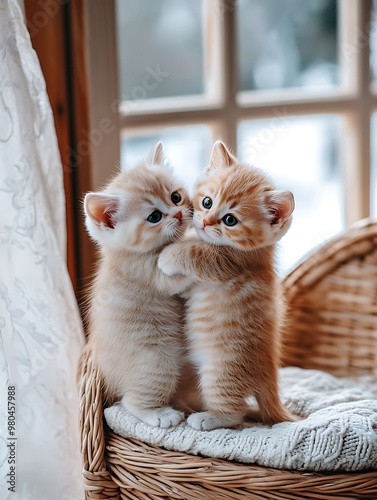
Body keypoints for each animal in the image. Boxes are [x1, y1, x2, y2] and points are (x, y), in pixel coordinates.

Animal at [83, 143, 192, 428]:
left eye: (176, 197)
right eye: (154, 216)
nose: (178, 213)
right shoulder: (150, 274)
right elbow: (178, 275)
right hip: (156, 362)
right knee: (130, 402)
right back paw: (160, 414)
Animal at [157, 141, 296, 430]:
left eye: (230, 220)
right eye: (207, 202)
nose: (205, 222)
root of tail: (269, 373)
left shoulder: (227, 265)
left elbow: (196, 254)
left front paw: (170, 255)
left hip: (221, 370)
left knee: (235, 412)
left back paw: (209, 417)